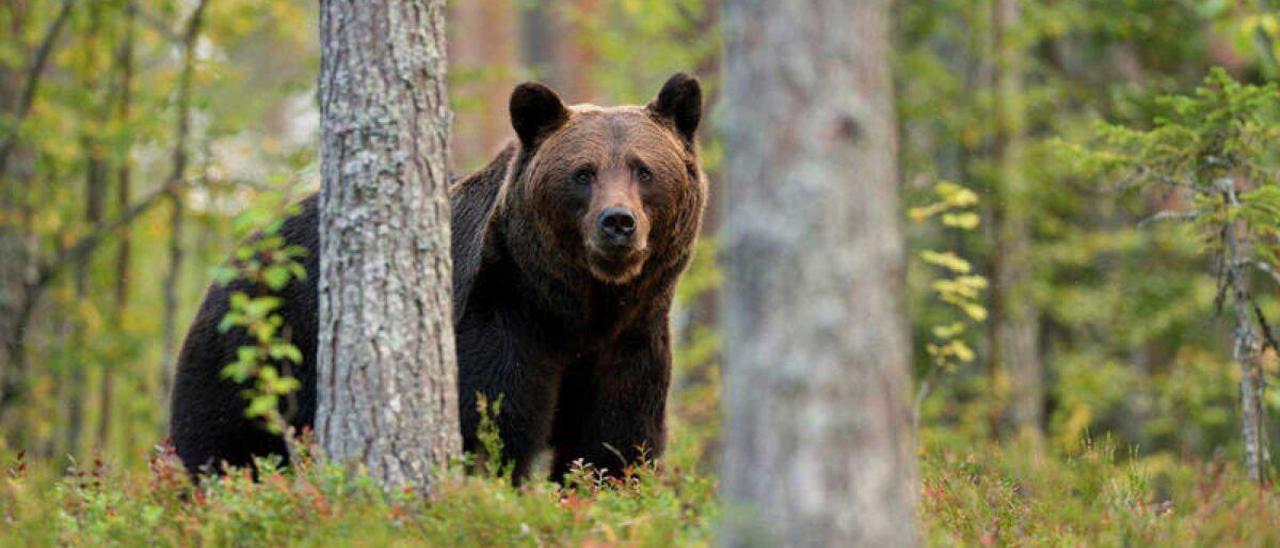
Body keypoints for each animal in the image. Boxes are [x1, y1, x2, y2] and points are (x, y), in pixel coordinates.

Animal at [169, 73, 707, 483]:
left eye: (644, 169)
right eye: (583, 173)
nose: (617, 222)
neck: (577, 306)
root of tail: (243, 253)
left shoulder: (629, 340)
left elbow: (613, 443)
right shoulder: (500, 316)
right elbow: (490, 425)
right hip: (255, 350)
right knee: (222, 444)